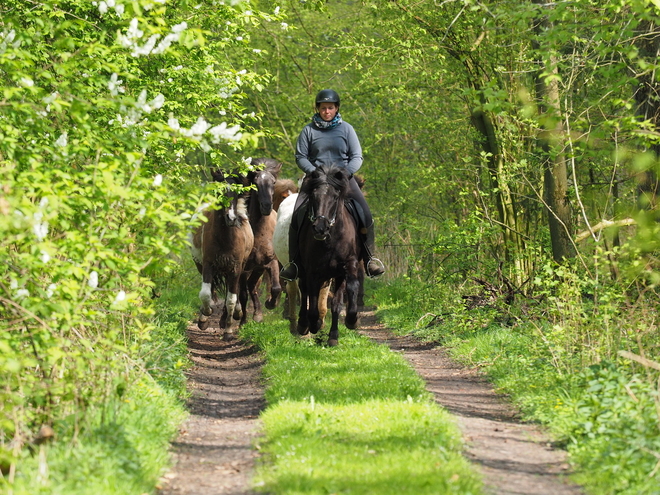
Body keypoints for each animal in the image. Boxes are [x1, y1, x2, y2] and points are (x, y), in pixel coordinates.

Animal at [192, 170, 254, 340]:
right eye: (219, 192)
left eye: (237, 194)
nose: (231, 218)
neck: (226, 239)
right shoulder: (208, 265)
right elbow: (205, 294)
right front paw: (205, 317)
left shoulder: (235, 268)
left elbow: (231, 299)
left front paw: (228, 330)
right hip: (201, 265)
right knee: (212, 290)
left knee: (233, 292)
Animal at [240, 156, 284, 326]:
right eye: (255, 183)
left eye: (273, 182)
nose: (266, 206)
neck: (260, 235)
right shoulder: (244, 267)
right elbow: (242, 294)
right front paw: (242, 320)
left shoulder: (271, 262)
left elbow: (276, 287)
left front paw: (270, 304)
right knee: (247, 288)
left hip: (258, 268)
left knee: (252, 285)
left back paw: (258, 314)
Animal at [296, 165, 360, 346]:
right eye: (313, 196)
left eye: (335, 196)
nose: (320, 228)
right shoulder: (312, 271)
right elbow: (312, 301)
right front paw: (314, 324)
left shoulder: (347, 266)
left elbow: (344, 296)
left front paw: (349, 322)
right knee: (304, 291)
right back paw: (303, 324)